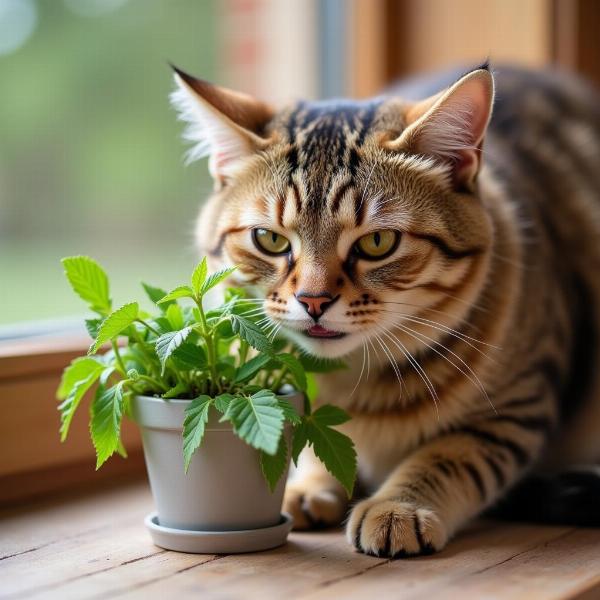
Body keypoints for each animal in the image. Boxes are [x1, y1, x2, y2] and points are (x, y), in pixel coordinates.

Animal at [168, 63, 600, 556]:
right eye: (270, 239)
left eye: (378, 242)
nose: (313, 300)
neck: (353, 382)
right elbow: (314, 440)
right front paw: (307, 486)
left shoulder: (518, 404)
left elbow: (450, 454)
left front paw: (398, 506)